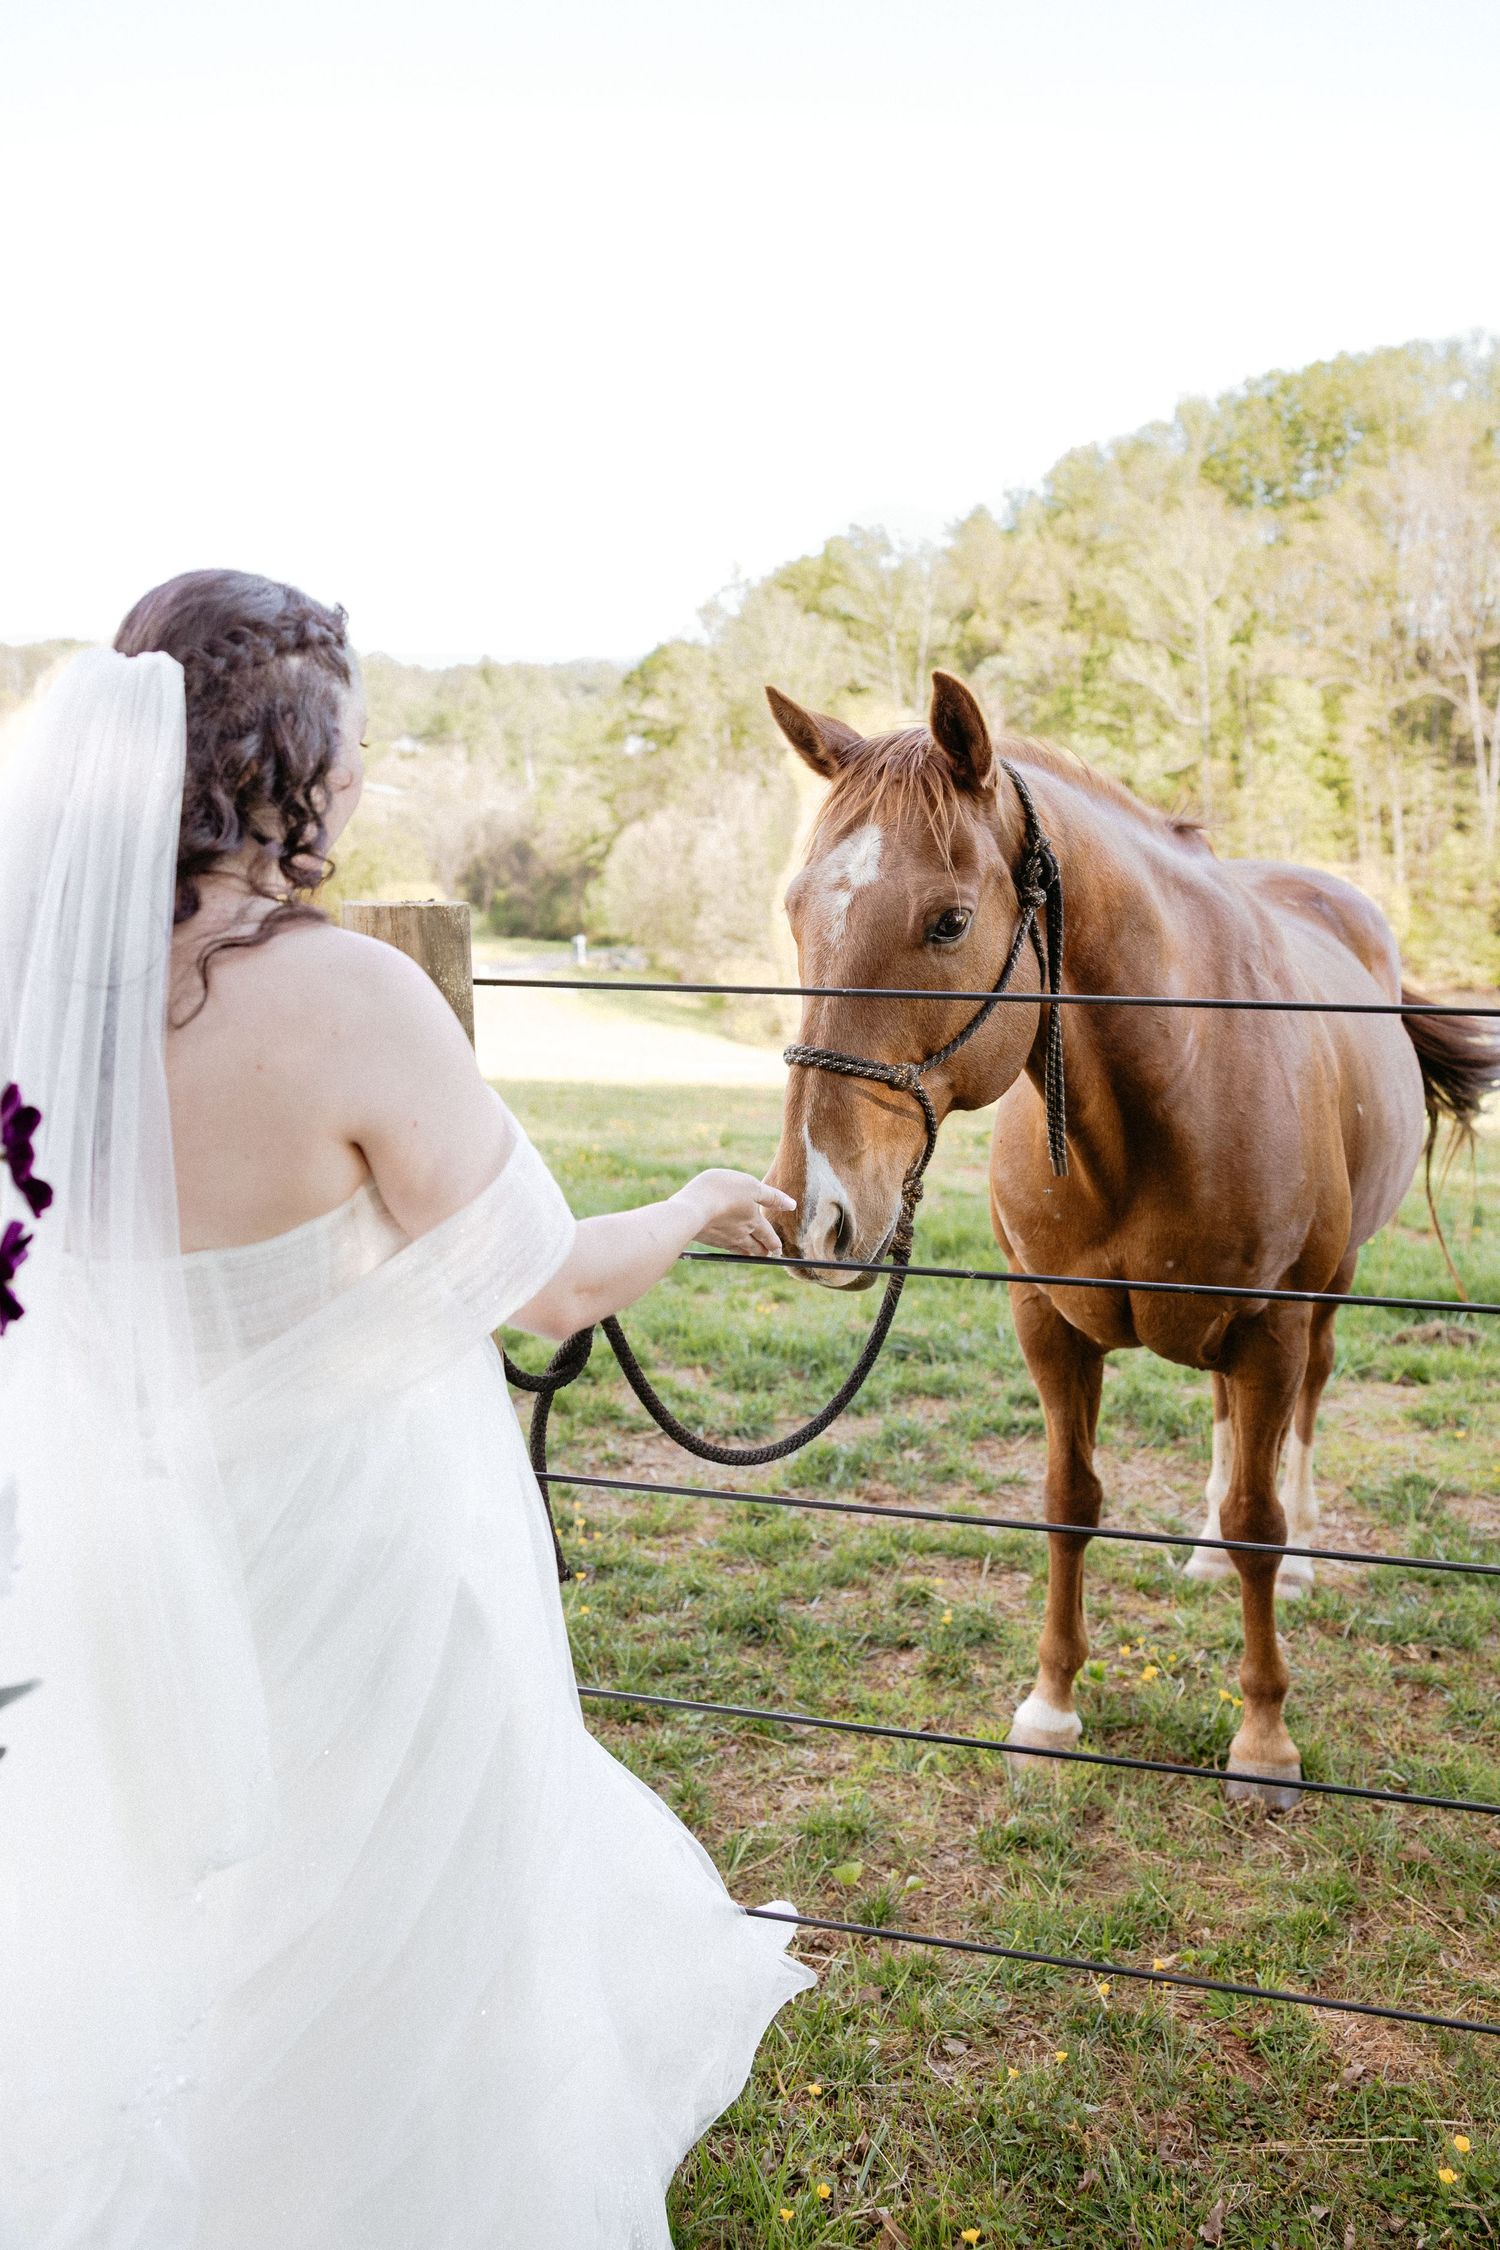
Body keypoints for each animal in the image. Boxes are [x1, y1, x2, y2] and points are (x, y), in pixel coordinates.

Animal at [763, 671, 1500, 1808]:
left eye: (948, 922)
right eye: (797, 911)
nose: (817, 1214)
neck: (1173, 1079)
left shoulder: (1271, 1326)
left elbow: (1258, 1522)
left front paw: (1264, 1740)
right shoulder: (1049, 1325)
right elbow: (1072, 1501)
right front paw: (1050, 1709)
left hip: (1326, 1298)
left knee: (1302, 1417)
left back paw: (1308, 1554)